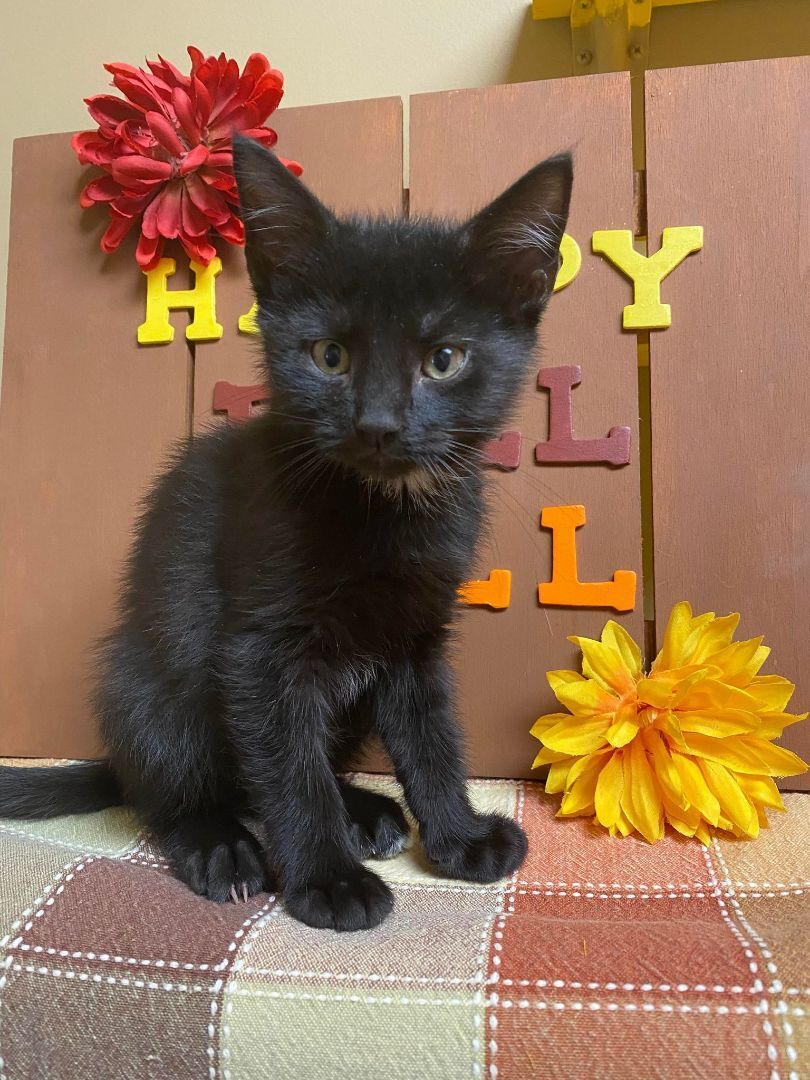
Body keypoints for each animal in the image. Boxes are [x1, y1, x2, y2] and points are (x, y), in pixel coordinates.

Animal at [0, 139, 570, 933]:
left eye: (444, 359)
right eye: (329, 356)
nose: (378, 425)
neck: (381, 512)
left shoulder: (415, 638)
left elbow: (431, 739)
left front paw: (458, 838)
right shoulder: (258, 649)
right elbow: (289, 768)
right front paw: (329, 881)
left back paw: (362, 810)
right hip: (146, 680)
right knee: (180, 788)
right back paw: (219, 845)